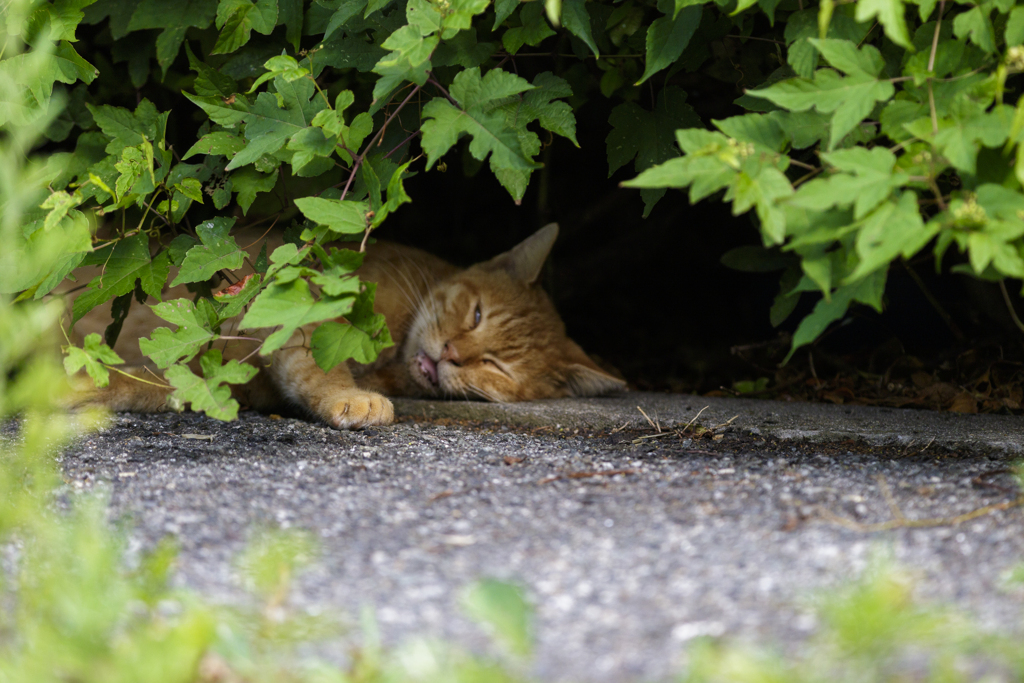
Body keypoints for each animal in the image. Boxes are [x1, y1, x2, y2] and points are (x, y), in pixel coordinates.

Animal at [68, 224, 626, 428]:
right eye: (477, 314)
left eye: (497, 365)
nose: (450, 353)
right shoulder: (296, 309)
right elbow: (319, 366)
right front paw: (351, 397)